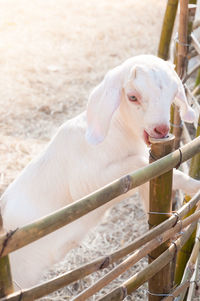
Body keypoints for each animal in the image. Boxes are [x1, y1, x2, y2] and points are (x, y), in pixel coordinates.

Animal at [0, 54, 200, 286]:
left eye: (172, 93)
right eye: (132, 97)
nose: (161, 129)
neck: (118, 131)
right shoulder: (86, 182)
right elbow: (139, 162)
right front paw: (195, 187)